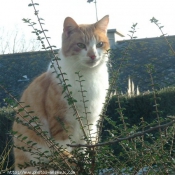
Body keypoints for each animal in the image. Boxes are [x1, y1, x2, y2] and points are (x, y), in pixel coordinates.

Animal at [13, 14, 110, 172]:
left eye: (100, 44)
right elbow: (63, 146)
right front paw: (72, 162)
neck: (87, 77)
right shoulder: (60, 121)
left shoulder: (90, 124)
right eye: (80, 45)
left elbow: (86, 148)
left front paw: (86, 164)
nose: (93, 55)